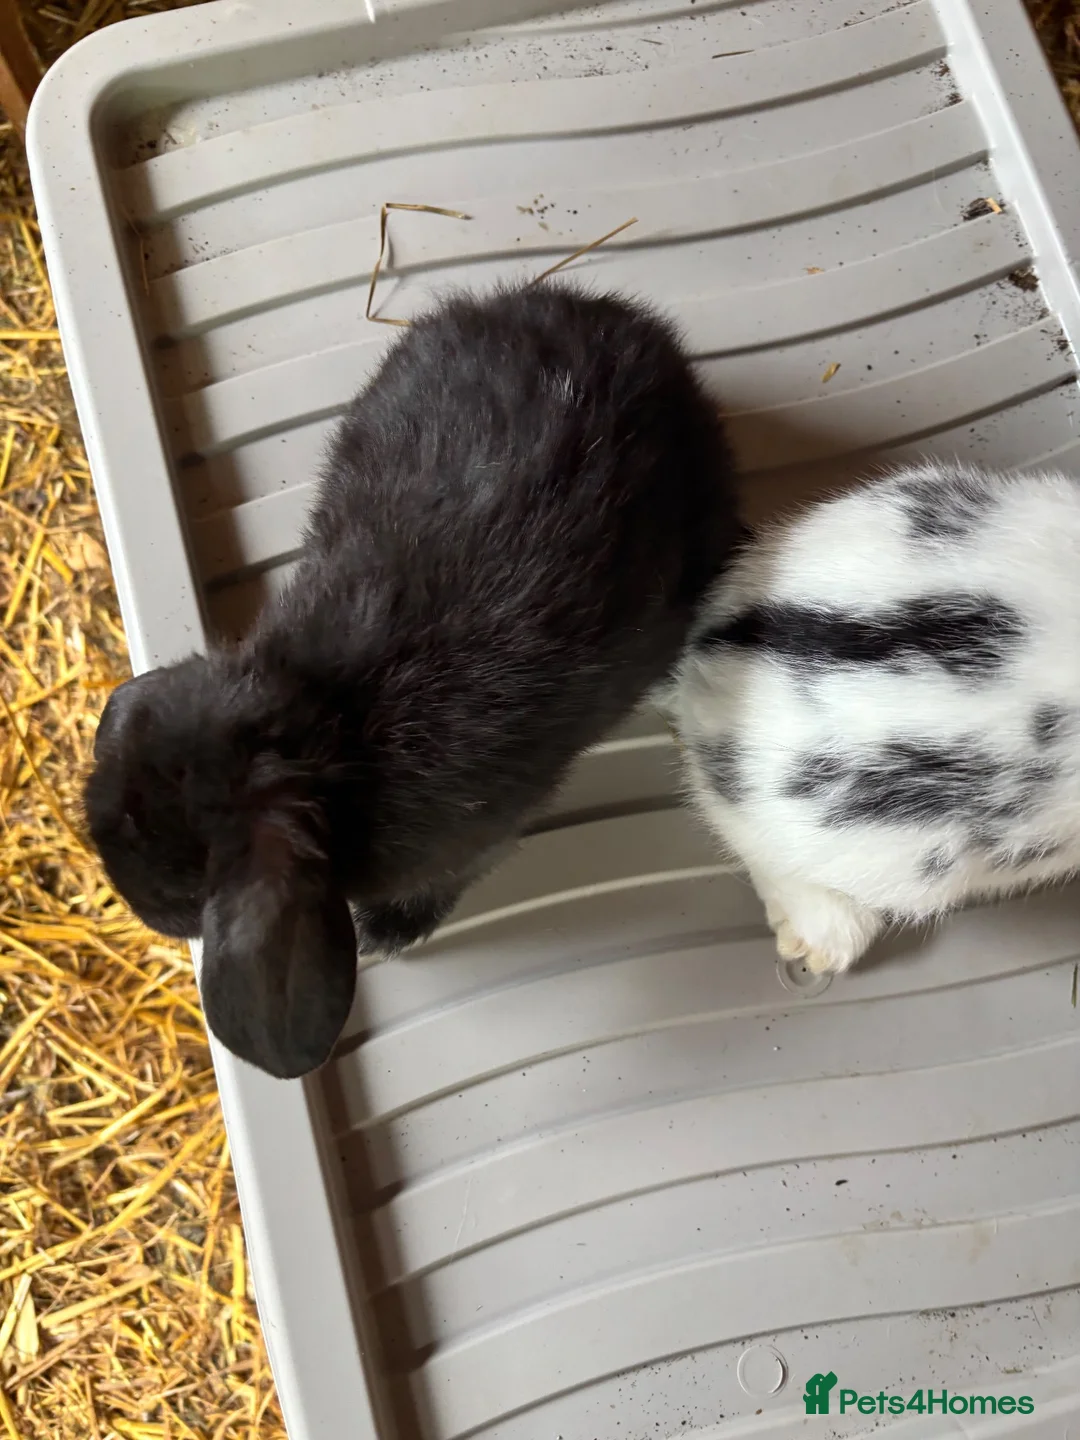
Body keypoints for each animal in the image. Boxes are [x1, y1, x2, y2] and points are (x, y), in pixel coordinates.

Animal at [84, 281, 739, 1079]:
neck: (323, 730)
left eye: (176, 886)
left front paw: (388, 932)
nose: (135, 902)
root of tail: (636, 331)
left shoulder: (475, 837)